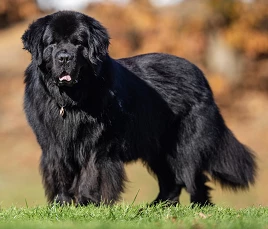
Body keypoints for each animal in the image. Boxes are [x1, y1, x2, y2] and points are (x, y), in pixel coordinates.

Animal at [22, 10, 256, 206]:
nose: (64, 57)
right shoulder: (53, 144)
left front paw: (87, 202)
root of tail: (201, 75)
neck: (71, 101)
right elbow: (59, 172)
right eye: (52, 43)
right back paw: (159, 206)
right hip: (158, 149)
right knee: (170, 179)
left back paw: (199, 207)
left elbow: (92, 172)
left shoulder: (98, 144)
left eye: (78, 43)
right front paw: (61, 203)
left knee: (193, 177)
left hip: (186, 146)